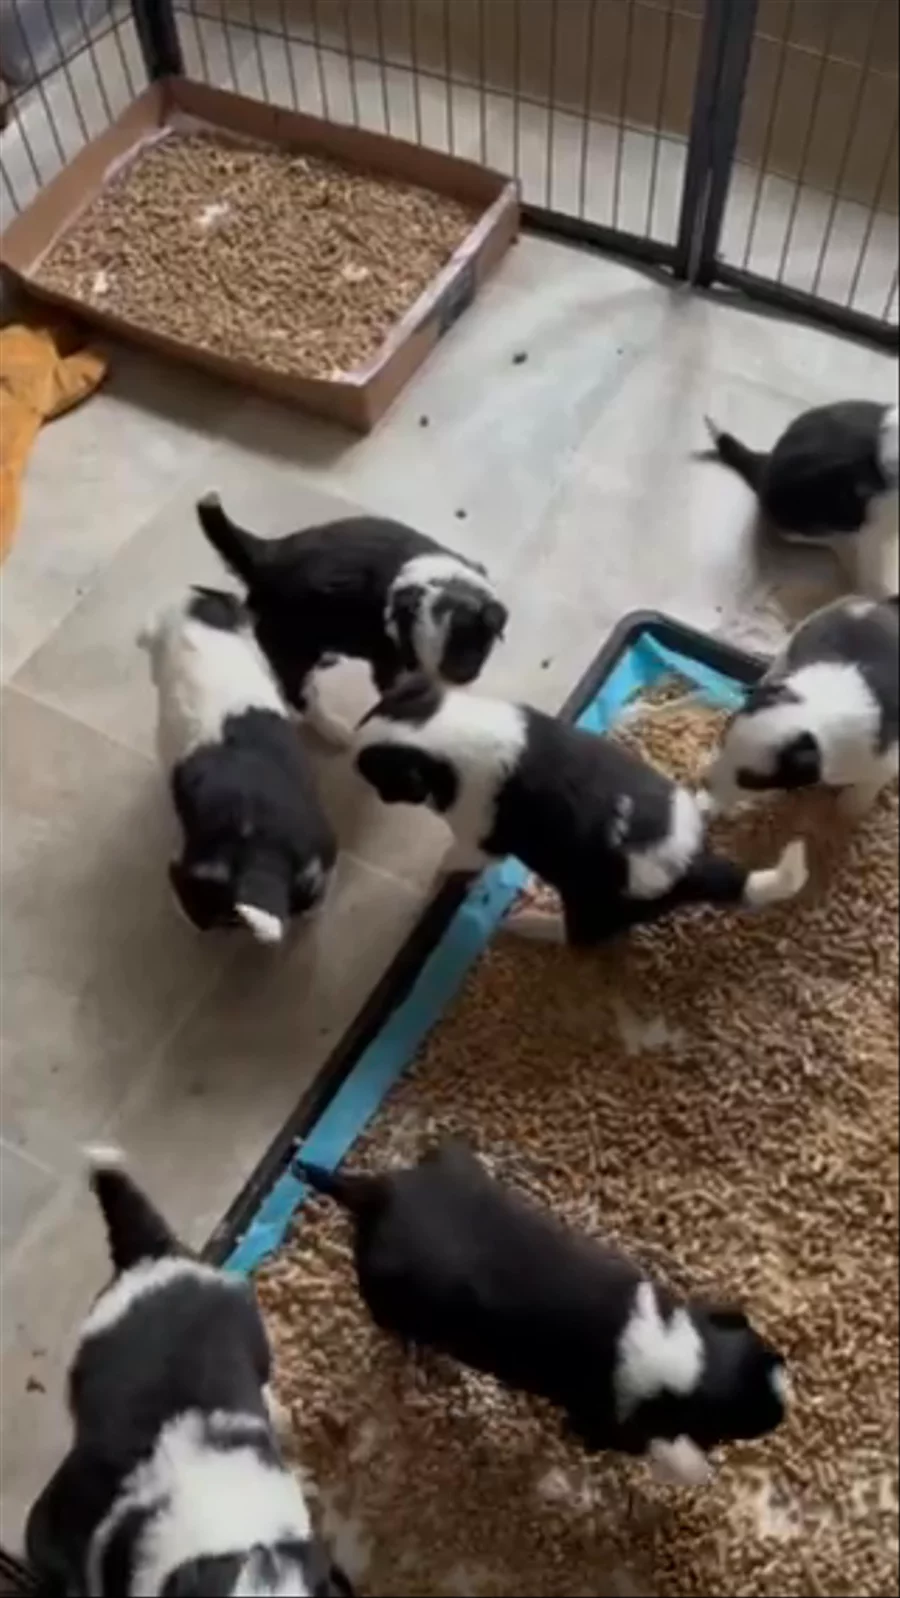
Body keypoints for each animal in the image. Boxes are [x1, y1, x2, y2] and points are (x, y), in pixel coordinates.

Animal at [195, 494, 507, 746]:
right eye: (409, 659)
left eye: (466, 666)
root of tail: (265, 554)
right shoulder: (391, 665)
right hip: (290, 644)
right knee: (301, 695)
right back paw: (333, 729)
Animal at [299, 1141, 788, 1485]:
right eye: (743, 1420)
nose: (786, 1401)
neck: (676, 1346)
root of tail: (376, 1194)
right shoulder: (603, 1424)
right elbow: (657, 1446)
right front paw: (697, 1468)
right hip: (387, 1297)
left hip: (447, 1169)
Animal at [353, 677, 808, 945]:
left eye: (380, 777)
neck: (444, 737)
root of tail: (692, 863)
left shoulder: (478, 839)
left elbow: (451, 858)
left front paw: (434, 883)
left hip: (594, 906)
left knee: (577, 937)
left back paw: (529, 924)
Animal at [706, 593, 899, 817]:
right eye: (723, 738)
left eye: (749, 780)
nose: (705, 782)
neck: (819, 710)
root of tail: (880, 603)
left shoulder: (884, 764)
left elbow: (865, 789)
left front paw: (849, 810)